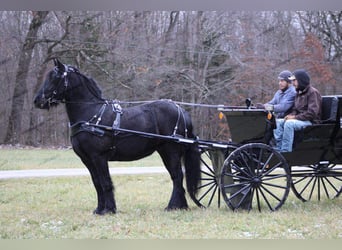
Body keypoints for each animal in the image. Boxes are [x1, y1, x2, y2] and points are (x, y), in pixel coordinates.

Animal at [33, 58, 202, 215]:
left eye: (55, 77)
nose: (37, 101)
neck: (91, 114)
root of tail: (182, 111)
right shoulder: (87, 159)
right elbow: (97, 183)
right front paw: (99, 209)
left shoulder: (99, 157)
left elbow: (105, 182)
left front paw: (109, 210)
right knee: (177, 176)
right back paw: (180, 206)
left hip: (170, 151)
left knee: (177, 176)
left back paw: (173, 206)